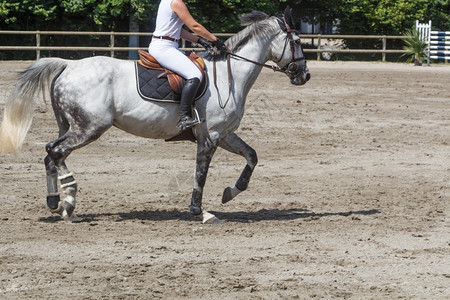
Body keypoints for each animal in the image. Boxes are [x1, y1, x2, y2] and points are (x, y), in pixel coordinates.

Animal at [0, 8, 310, 223]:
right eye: (297, 40)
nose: (305, 75)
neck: (228, 74)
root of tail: (68, 64)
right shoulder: (209, 136)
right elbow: (200, 174)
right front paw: (200, 211)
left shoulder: (224, 134)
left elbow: (251, 156)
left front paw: (231, 192)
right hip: (89, 128)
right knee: (55, 151)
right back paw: (69, 201)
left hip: (70, 125)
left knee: (51, 155)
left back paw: (56, 202)